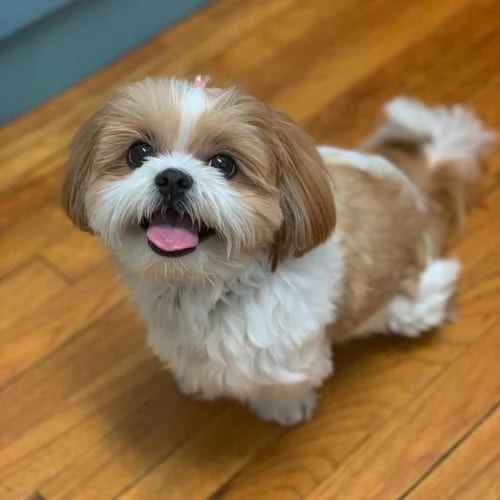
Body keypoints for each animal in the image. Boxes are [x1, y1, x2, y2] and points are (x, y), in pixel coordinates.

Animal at [61, 75, 492, 426]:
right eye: (139, 153)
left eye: (224, 163)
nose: (172, 177)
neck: (207, 285)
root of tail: (415, 193)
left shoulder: (288, 355)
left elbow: (280, 385)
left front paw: (283, 409)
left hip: (415, 301)